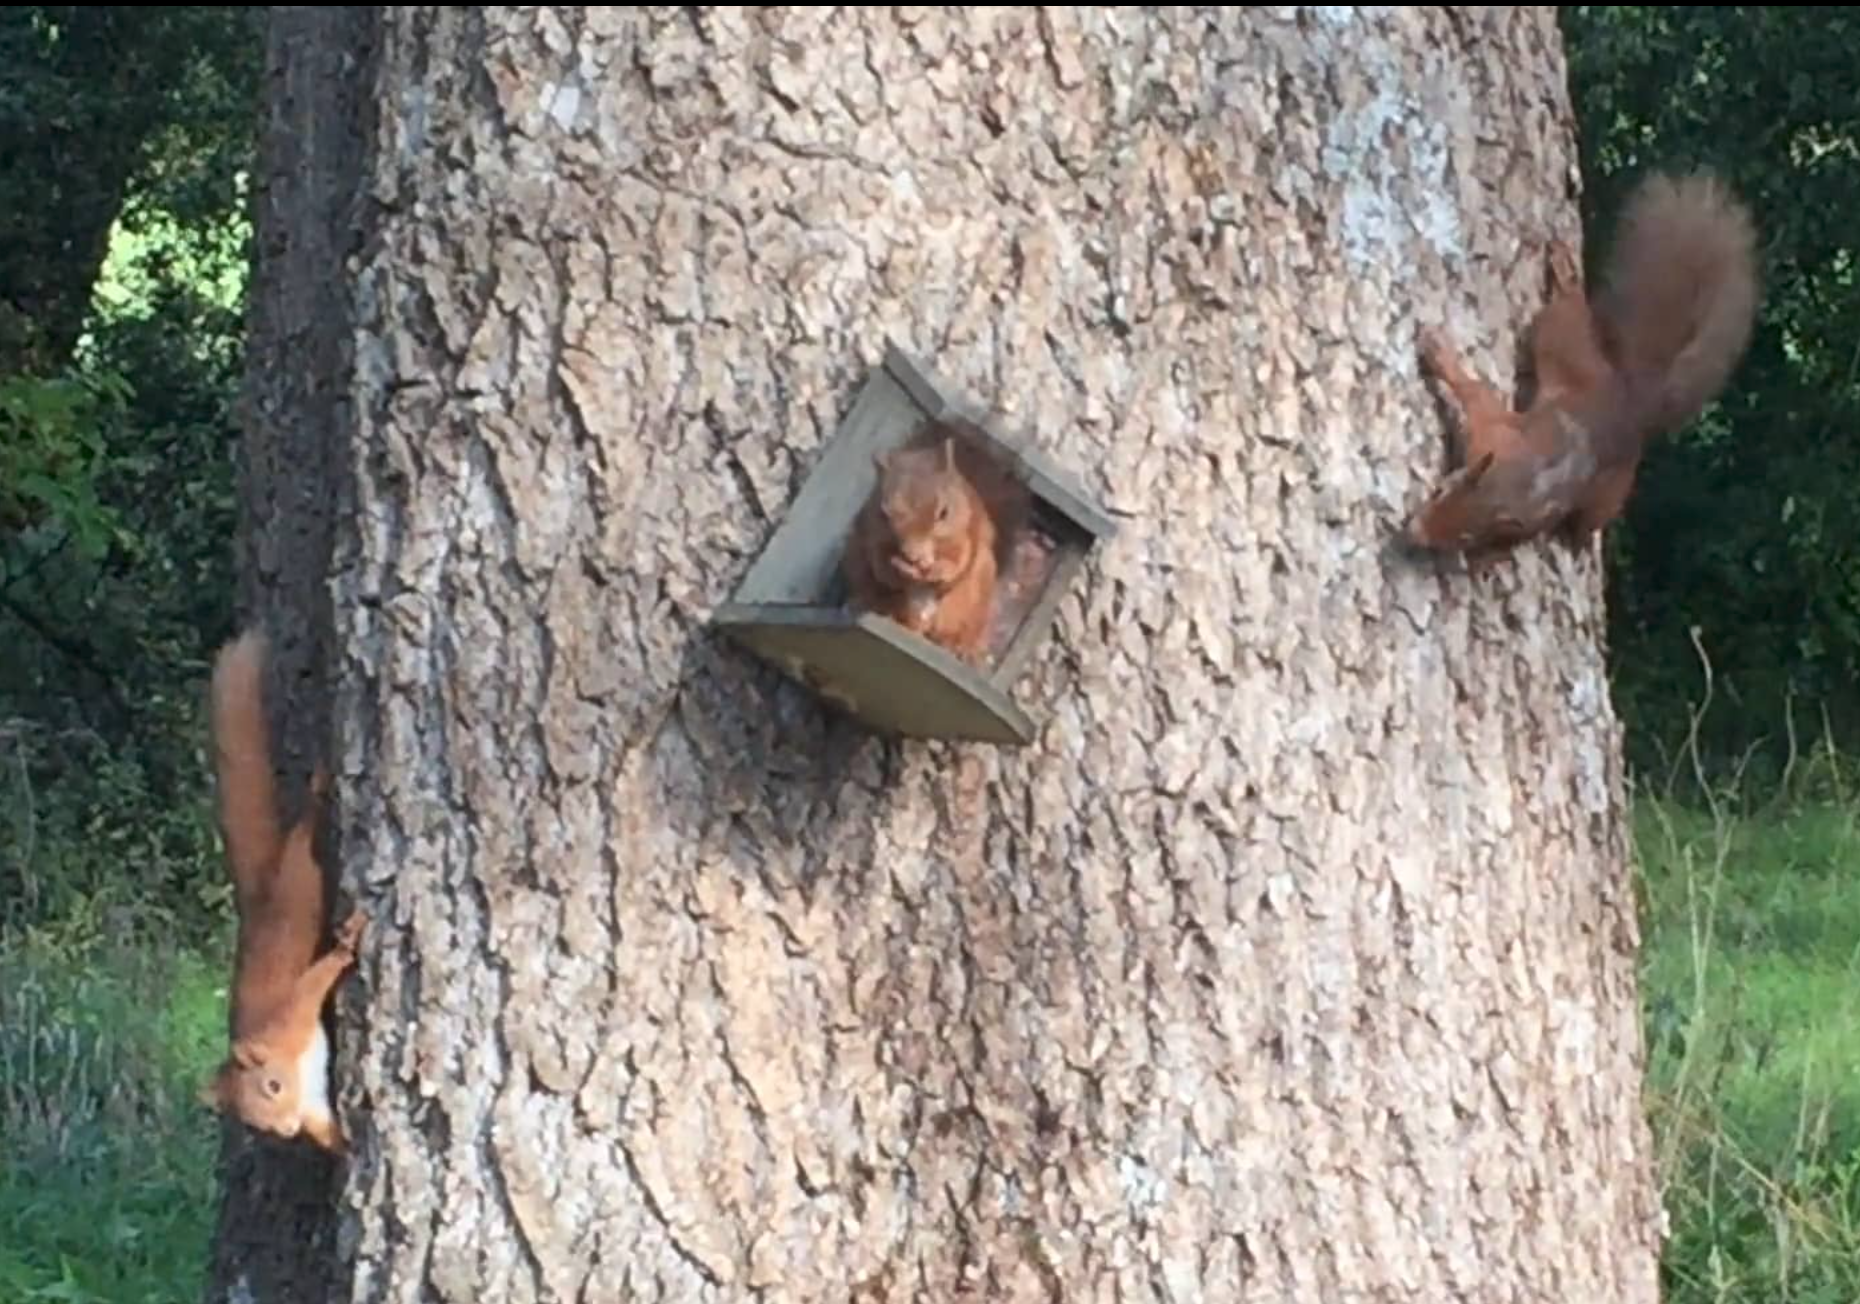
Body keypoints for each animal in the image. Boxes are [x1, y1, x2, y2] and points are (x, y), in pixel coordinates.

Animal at [197, 628, 364, 1153]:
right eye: (257, 1124)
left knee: (309, 823)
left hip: (303, 874)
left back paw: (323, 781)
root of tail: (259, 899)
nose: (287, 1129)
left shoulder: (293, 1015)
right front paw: (345, 1149)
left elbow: (316, 981)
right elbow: (330, 1134)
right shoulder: (314, 1112)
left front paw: (345, 949)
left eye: (272, 1085)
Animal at [841, 416, 1030, 664]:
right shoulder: (873, 535)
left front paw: (937, 569)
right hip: (857, 560)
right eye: (883, 512)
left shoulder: (966, 535)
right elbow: (882, 568)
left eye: (943, 512)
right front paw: (900, 566)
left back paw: (962, 647)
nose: (913, 555)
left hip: (976, 593)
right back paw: (870, 606)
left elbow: (958, 564)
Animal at [1402, 168, 1760, 569]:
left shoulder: (1497, 440)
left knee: (1567, 304)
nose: (1414, 533)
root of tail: (1633, 402)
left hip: (1576, 382)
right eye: (1441, 491)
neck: (1519, 482)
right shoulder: (1497, 452)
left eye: (1465, 536)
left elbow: (1475, 394)